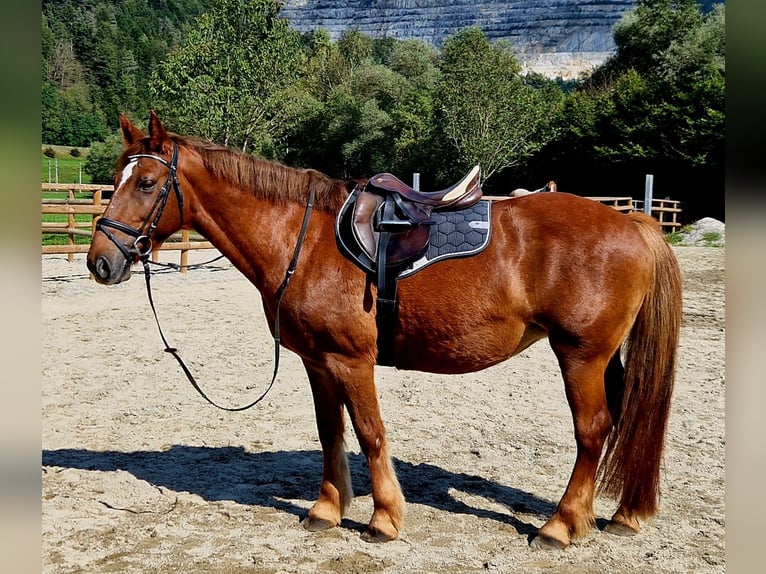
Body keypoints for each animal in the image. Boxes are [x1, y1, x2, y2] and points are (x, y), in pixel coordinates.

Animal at [85, 112, 684, 548]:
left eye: (146, 182)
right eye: (114, 181)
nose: (100, 263)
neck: (306, 241)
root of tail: (631, 220)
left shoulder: (353, 360)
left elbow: (370, 433)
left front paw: (384, 519)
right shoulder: (317, 361)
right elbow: (331, 433)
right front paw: (327, 510)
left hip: (580, 354)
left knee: (593, 432)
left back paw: (560, 526)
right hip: (604, 358)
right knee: (622, 422)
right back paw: (621, 514)